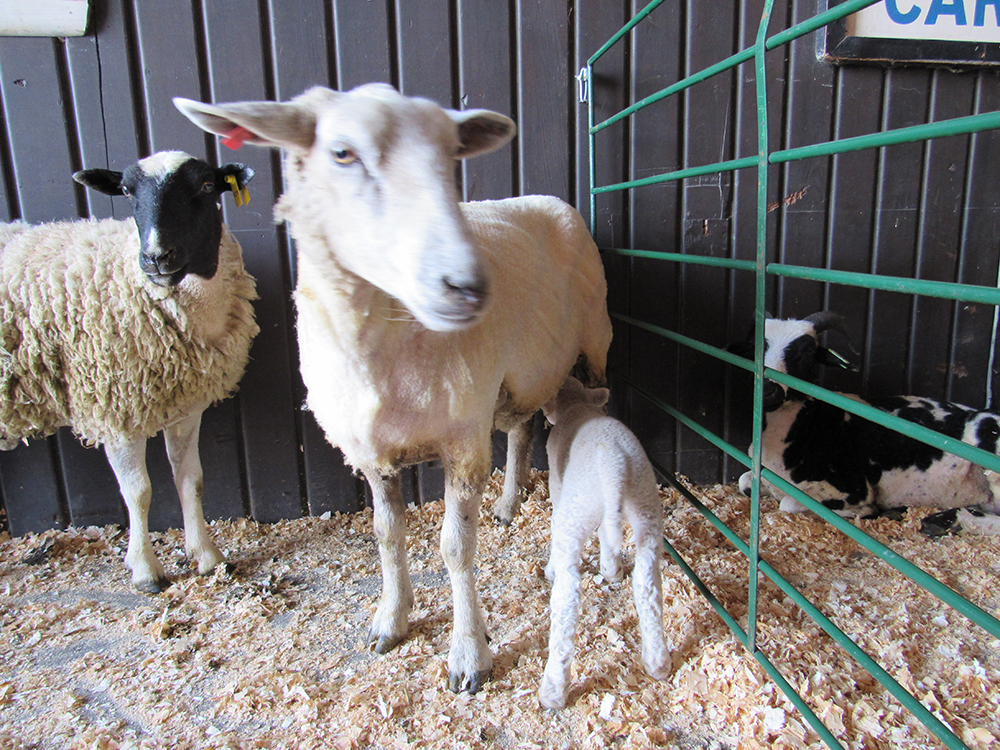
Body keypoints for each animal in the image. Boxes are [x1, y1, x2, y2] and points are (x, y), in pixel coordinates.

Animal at [1, 151, 259, 592]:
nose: (157, 256)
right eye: (125, 191)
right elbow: (138, 491)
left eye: (207, 186)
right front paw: (145, 570)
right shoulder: (115, 408)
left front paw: (206, 556)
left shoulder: (187, 406)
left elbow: (191, 480)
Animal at [173, 83, 613, 693]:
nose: (468, 286)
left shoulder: (462, 440)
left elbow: (456, 548)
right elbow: (387, 535)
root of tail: (550, 198)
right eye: (342, 153)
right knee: (523, 429)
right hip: (518, 377)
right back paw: (507, 503)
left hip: (594, 342)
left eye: (451, 156)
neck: (379, 344)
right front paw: (391, 619)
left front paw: (468, 654)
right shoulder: (370, 450)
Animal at [538, 376, 672, 710]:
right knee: (647, 583)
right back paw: (658, 662)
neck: (577, 405)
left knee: (567, 598)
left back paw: (553, 690)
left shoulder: (557, 487)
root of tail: (614, 465)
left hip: (576, 512)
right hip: (647, 508)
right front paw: (611, 568)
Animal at [729, 312, 1000, 535]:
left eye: (806, 352)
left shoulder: (853, 489)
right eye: (754, 347)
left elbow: (789, 503)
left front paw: (867, 512)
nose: (768, 389)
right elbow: (745, 483)